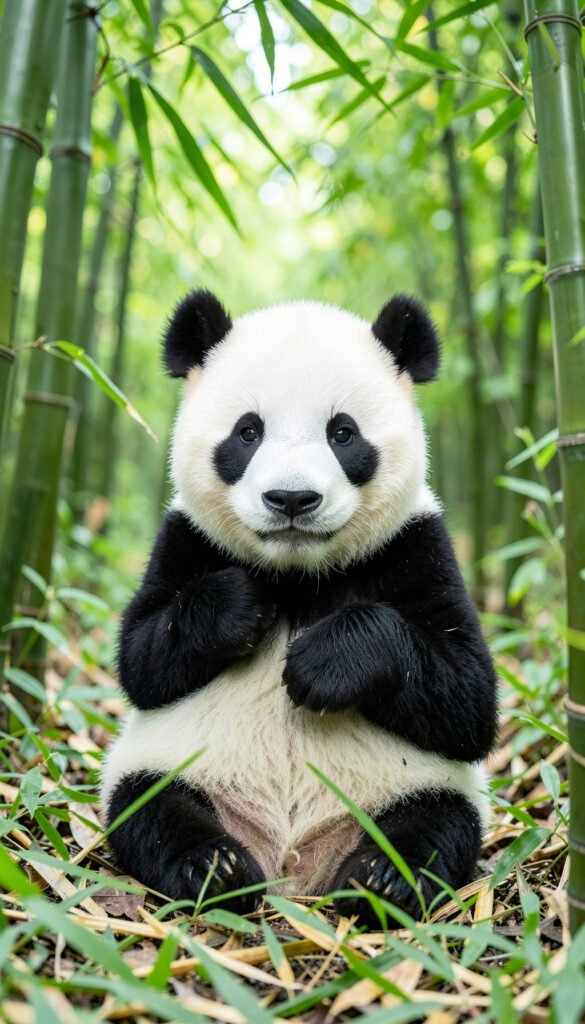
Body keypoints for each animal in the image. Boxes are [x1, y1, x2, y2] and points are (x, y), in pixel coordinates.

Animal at [100, 290, 497, 927]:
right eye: (247, 432)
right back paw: (215, 868)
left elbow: (467, 697)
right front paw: (241, 606)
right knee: (150, 806)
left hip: (418, 785)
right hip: (170, 765)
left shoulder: (418, 544)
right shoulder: (183, 538)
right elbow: (142, 659)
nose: (291, 499)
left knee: (438, 823)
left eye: (343, 433)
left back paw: (381, 877)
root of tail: (293, 860)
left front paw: (324, 664)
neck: (298, 574)